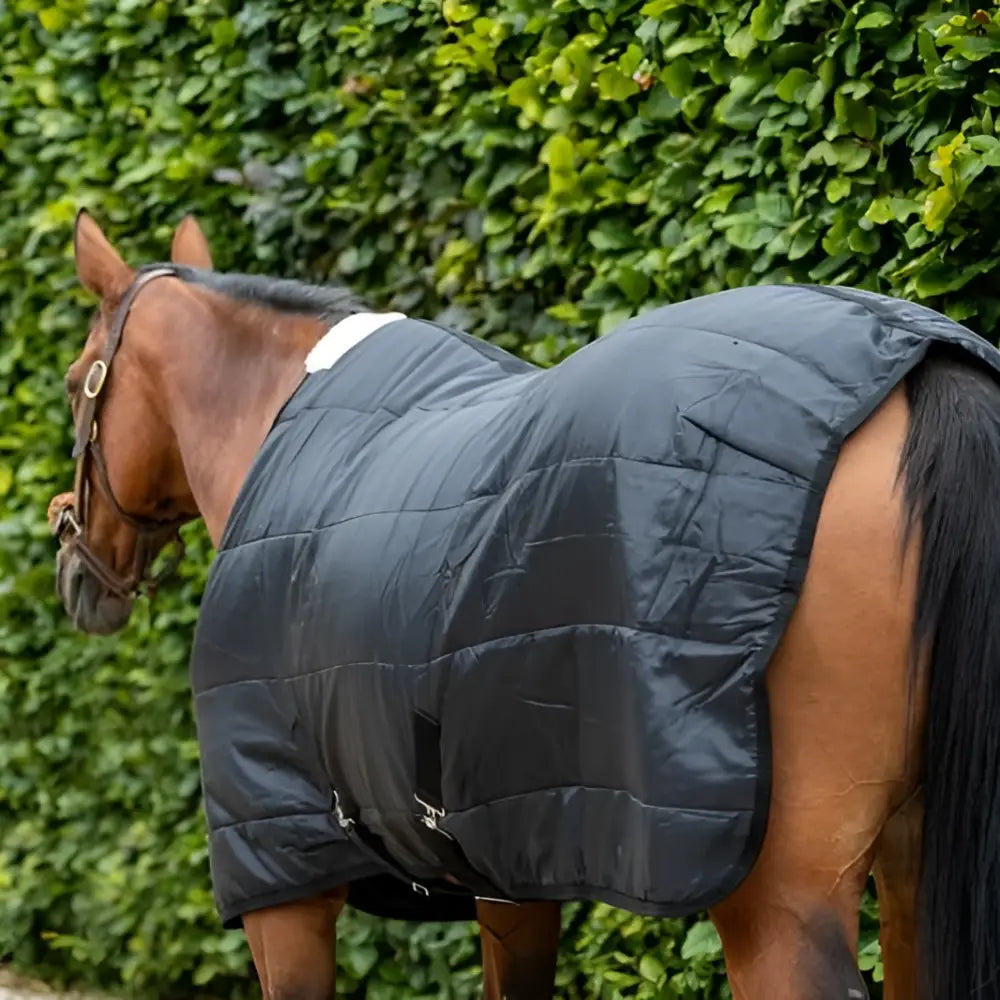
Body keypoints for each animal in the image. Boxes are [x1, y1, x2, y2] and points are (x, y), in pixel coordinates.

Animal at [46, 209, 1000, 1000]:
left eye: (74, 380)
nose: (75, 572)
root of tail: (917, 370)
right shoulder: (508, 869)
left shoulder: (285, 886)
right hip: (915, 874)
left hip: (783, 905)